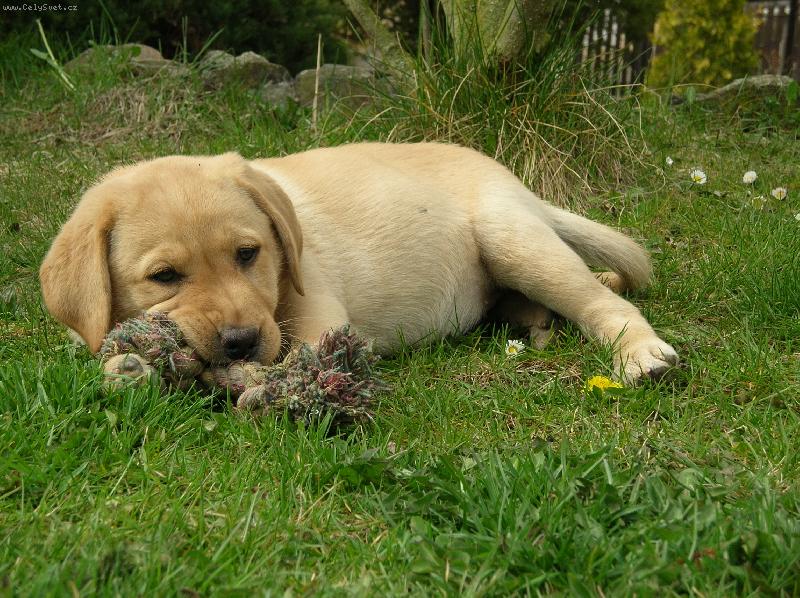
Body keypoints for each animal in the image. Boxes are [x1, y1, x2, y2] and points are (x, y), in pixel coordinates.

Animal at [39, 142, 678, 384]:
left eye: (249, 254)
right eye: (164, 277)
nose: (242, 342)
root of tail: (521, 188)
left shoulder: (319, 313)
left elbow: (293, 360)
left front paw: (255, 381)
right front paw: (129, 364)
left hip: (514, 239)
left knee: (604, 301)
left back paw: (641, 353)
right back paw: (532, 320)